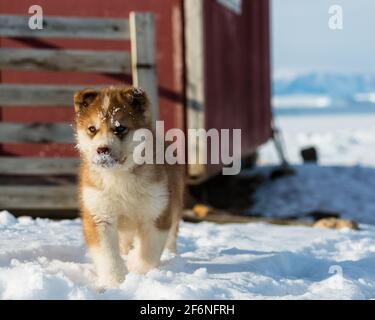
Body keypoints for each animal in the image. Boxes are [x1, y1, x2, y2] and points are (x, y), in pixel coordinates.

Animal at [73, 86, 185, 288]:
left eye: (120, 128)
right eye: (92, 129)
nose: (102, 150)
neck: (119, 176)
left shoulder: (157, 213)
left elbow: (148, 253)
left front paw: (137, 270)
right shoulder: (99, 215)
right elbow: (107, 255)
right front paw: (114, 282)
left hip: (175, 205)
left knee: (171, 237)